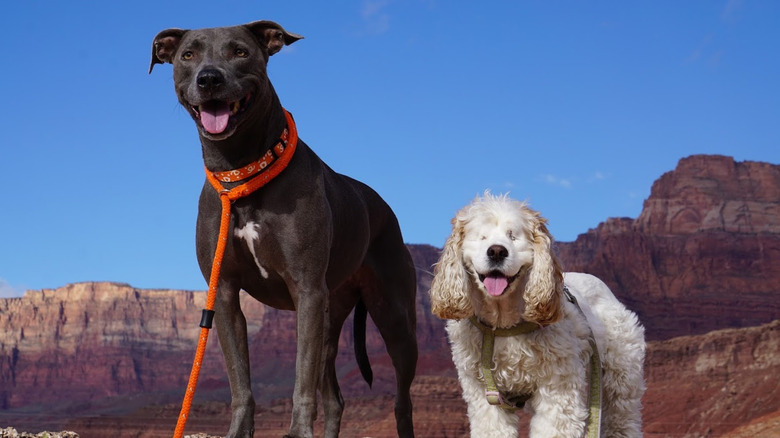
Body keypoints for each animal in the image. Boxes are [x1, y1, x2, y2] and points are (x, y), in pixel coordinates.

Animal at [153, 20, 420, 438]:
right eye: (188, 55)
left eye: (240, 51)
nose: (209, 78)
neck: (243, 172)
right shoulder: (224, 295)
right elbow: (240, 380)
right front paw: (239, 430)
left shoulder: (306, 290)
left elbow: (300, 377)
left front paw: (297, 431)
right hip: (330, 319)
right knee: (335, 398)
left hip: (394, 320)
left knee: (401, 401)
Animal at [430, 193, 644, 436]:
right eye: (481, 237)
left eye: (513, 236)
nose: (496, 251)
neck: (503, 323)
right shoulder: (484, 394)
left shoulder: (559, 387)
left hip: (623, 374)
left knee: (622, 417)